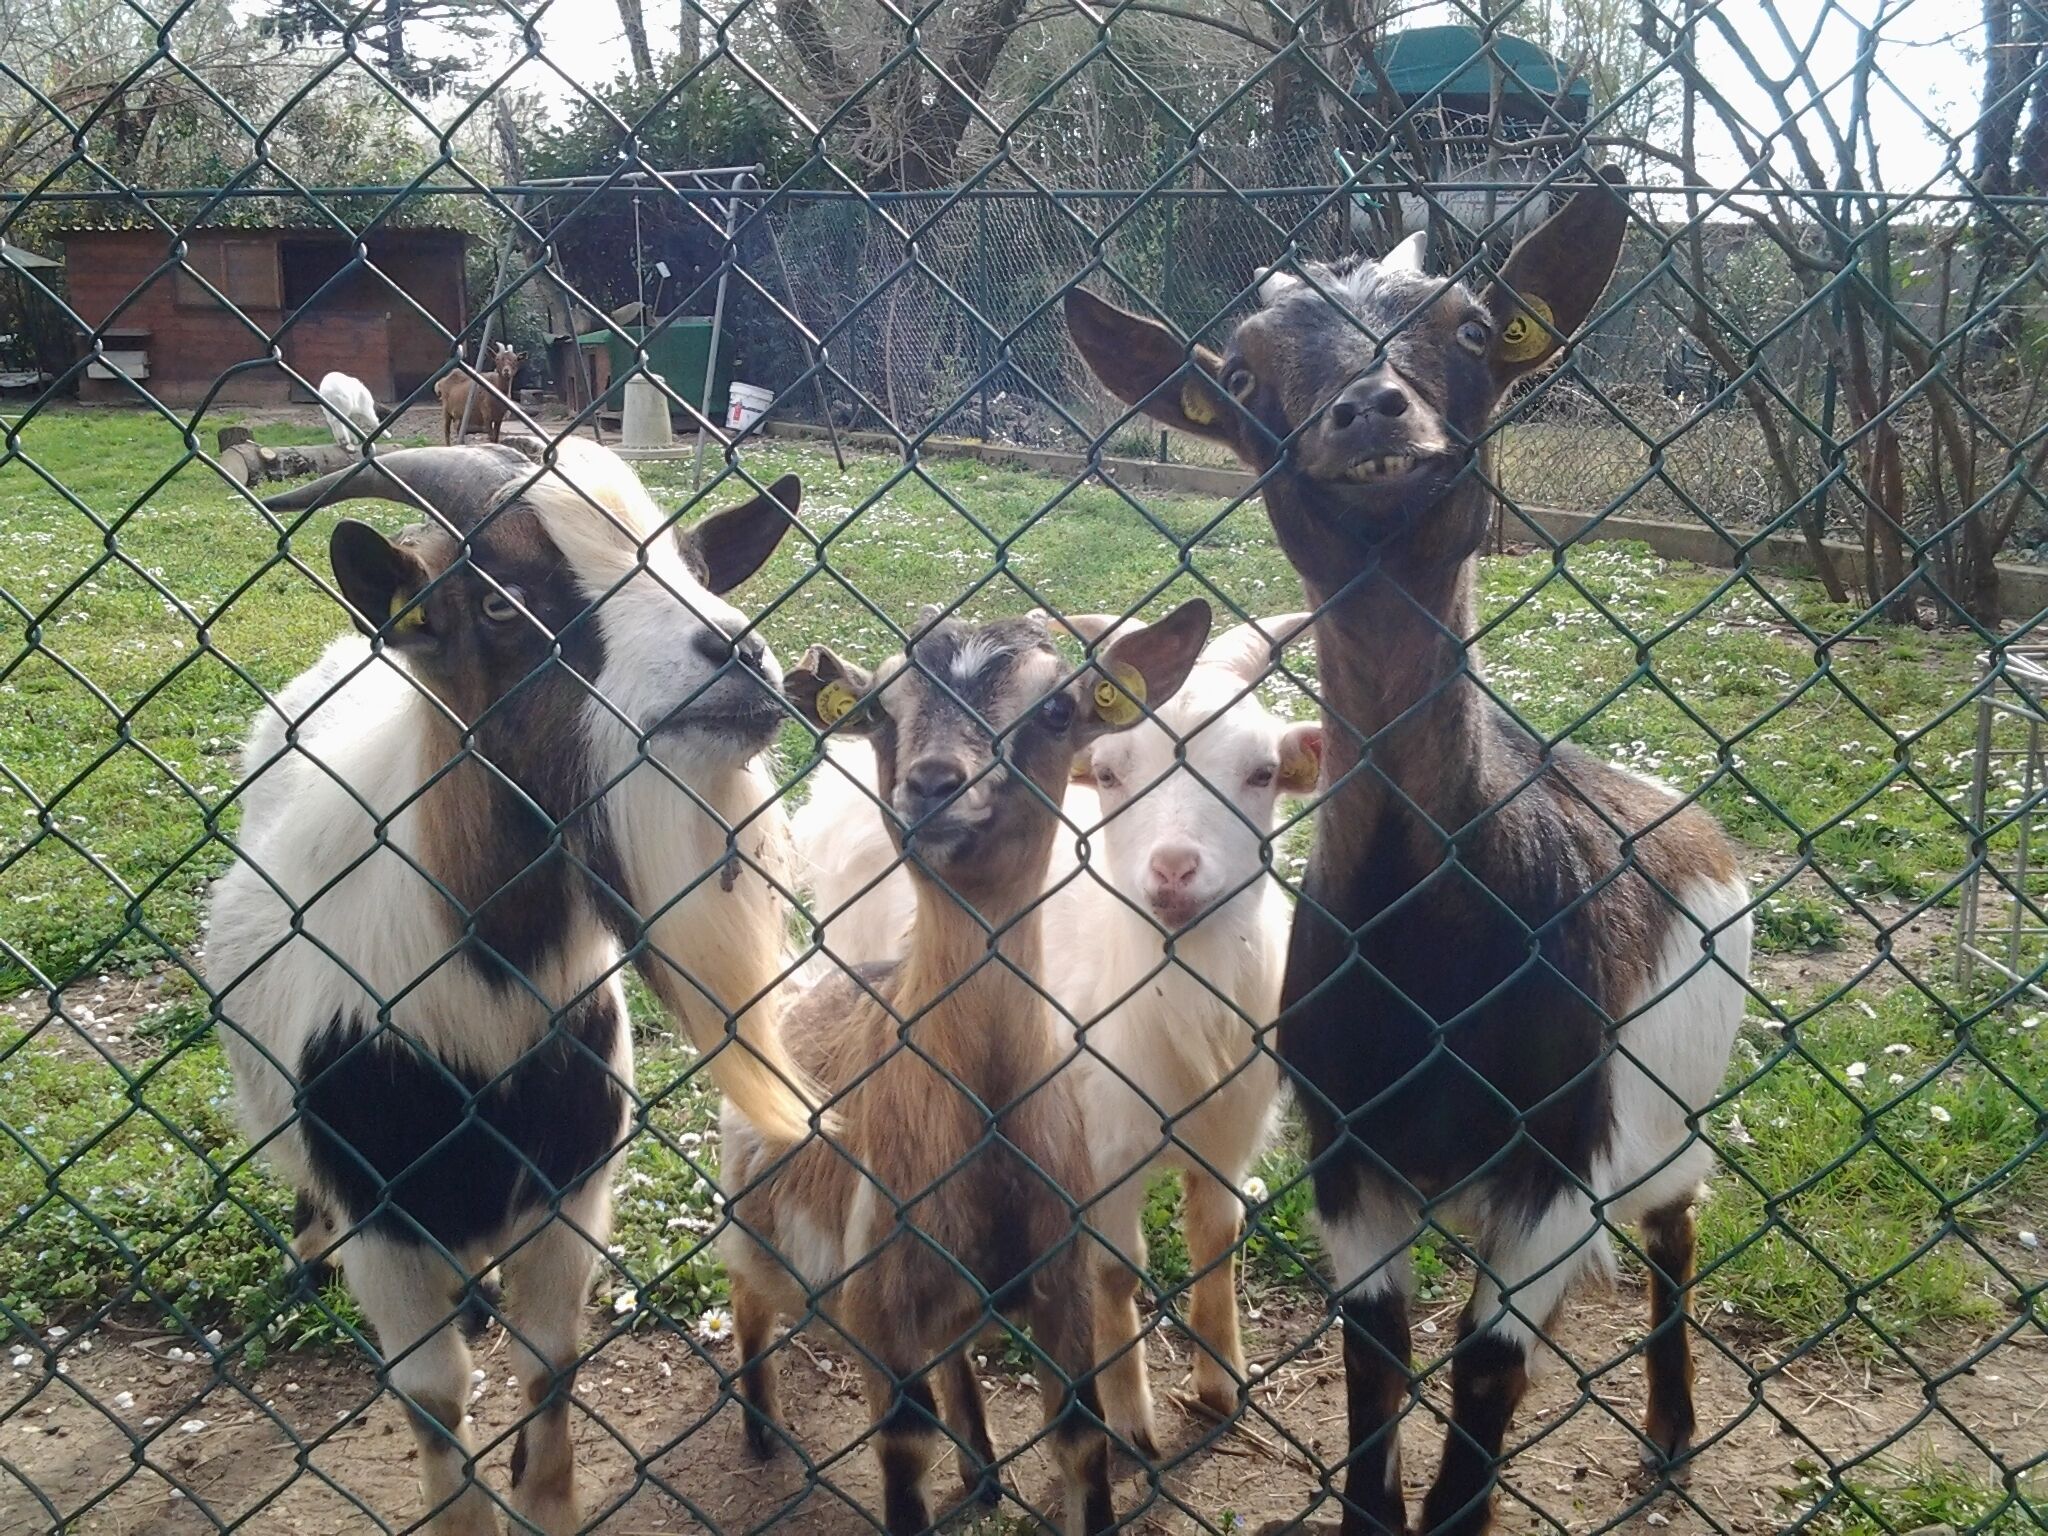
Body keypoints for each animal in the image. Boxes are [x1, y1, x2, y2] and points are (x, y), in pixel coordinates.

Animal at [206, 437, 820, 1535]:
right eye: (501, 604)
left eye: (692, 567)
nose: (739, 653)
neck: (482, 1005)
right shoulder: (384, 1221)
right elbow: (433, 1397)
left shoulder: (569, 1191)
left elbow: (550, 1366)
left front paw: (545, 1498)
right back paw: (303, 1261)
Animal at [721, 600, 1214, 1536]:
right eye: (878, 711)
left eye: (1057, 709)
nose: (934, 782)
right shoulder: (877, 1303)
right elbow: (904, 1449)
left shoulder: (1063, 1284)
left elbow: (1081, 1436)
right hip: (755, 1222)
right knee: (750, 1296)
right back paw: (760, 1433)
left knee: (952, 1354)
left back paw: (983, 1472)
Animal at [790, 608, 1320, 1458]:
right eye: (1106, 773)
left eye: (1262, 773)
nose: (1174, 870)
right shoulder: (1093, 1146)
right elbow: (1114, 1272)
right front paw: (1130, 1419)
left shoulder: (1227, 1131)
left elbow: (1218, 1236)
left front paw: (1219, 1385)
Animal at [1067, 170, 1752, 1536]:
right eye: (1241, 370)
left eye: (1473, 330)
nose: (1370, 409)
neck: (1433, 939)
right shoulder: (1349, 1157)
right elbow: (1375, 1365)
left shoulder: (1554, 1164)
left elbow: (1482, 1381)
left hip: (1671, 1118)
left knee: (1675, 1232)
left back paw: (1667, 1430)